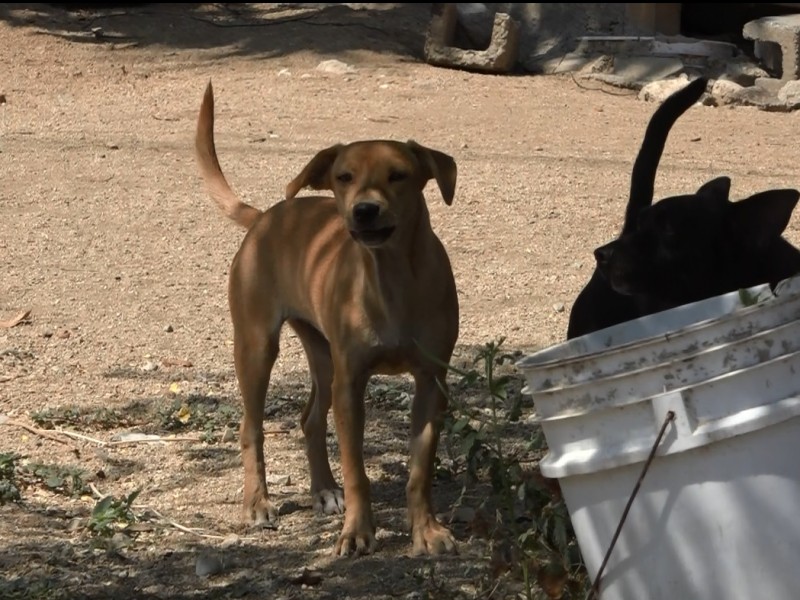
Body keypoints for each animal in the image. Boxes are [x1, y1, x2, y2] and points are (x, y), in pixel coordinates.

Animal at [194, 83, 460, 556]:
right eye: (344, 177)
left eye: (399, 175)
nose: (365, 210)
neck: (391, 281)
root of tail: (266, 216)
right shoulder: (350, 384)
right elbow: (357, 472)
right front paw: (357, 532)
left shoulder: (431, 382)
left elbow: (419, 471)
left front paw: (426, 530)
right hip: (258, 346)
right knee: (251, 427)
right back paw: (257, 503)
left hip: (321, 352)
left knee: (310, 419)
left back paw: (323, 490)